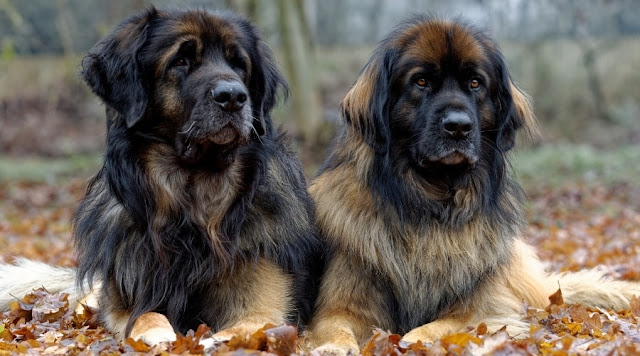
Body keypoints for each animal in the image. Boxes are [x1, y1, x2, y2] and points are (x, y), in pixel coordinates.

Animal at [0, 6, 320, 344]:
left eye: (238, 64)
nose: (233, 97)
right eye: (180, 61)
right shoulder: (127, 297)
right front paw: (163, 338)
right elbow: (145, 317)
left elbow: (239, 328)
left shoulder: (265, 303)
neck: (191, 201)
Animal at [306, 16, 640, 354]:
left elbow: (437, 327)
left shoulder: (482, 309)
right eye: (421, 82)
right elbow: (336, 324)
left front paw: (410, 341)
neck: (432, 204)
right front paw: (334, 347)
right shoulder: (340, 303)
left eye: (476, 83)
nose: (458, 127)